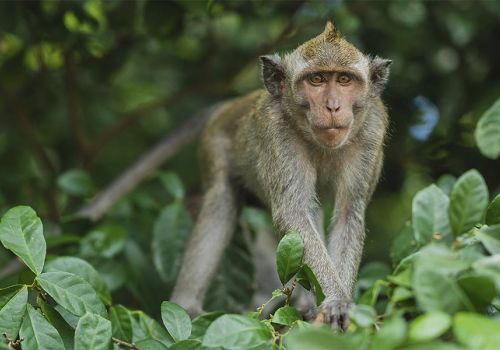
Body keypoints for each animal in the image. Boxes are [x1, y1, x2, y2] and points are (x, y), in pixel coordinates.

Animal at [170, 21, 392, 330]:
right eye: (317, 80)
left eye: (345, 80)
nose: (333, 106)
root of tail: (232, 105)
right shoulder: (277, 130)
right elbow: (294, 212)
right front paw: (336, 300)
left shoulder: (372, 128)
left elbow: (348, 214)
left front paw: (338, 304)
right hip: (215, 145)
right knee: (221, 203)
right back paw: (187, 307)